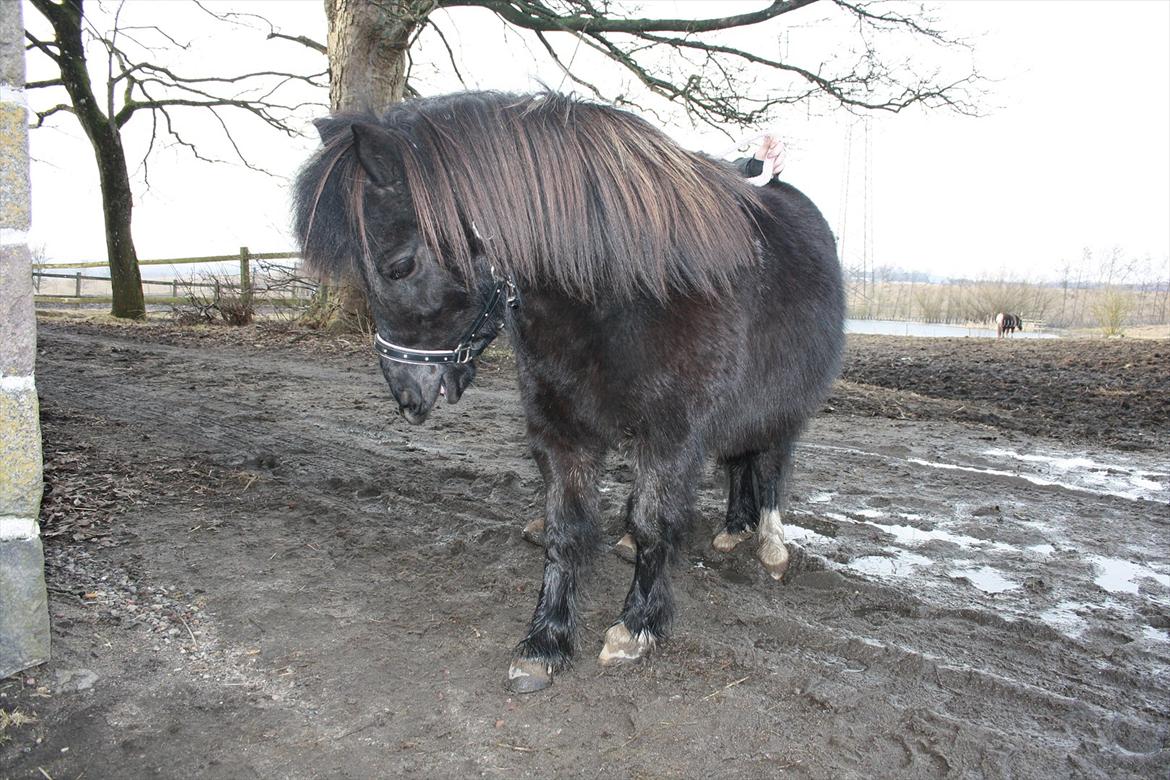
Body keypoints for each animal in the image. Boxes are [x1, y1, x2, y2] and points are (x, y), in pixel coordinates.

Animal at [292, 92, 842, 696]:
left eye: (398, 267)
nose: (406, 395)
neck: (625, 292)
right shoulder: (560, 431)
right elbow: (566, 529)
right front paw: (546, 641)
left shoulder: (670, 437)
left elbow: (653, 523)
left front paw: (637, 626)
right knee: (740, 459)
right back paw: (731, 529)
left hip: (781, 404)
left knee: (770, 461)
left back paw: (769, 541)